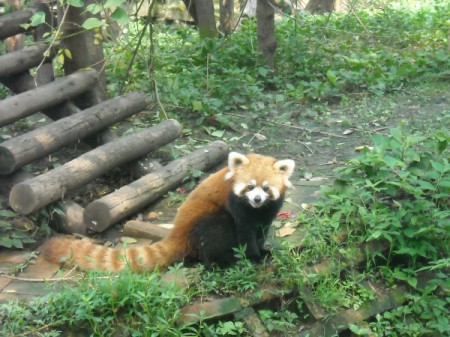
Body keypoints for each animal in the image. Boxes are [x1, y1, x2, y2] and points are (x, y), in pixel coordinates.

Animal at [40, 152, 296, 270]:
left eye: (266, 188)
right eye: (250, 187)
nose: (256, 199)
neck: (254, 209)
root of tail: (177, 232)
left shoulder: (267, 211)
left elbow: (261, 229)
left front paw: (263, 250)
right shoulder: (236, 204)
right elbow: (244, 231)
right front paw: (253, 256)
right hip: (205, 223)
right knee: (217, 228)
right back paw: (220, 261)